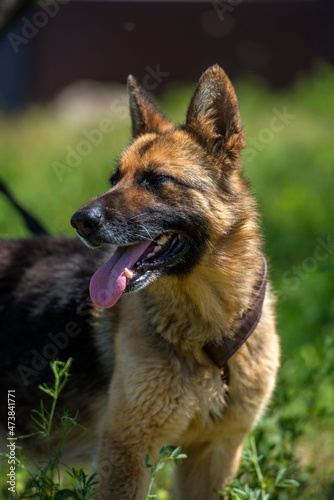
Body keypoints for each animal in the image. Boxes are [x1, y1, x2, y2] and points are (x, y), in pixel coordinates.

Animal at [0, 67, 280, 500]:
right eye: (114, 179)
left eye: (156, 179)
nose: (79, 221)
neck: (207, 328)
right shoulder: (127, 452)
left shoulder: (213, 456)